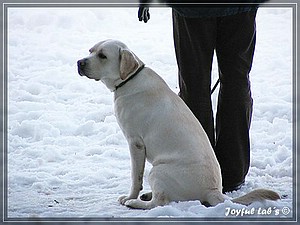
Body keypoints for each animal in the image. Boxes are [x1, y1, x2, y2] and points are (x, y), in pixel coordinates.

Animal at [77, 39, 278, 209]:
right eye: (91, 51)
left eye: (103, 56)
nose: (79, 62)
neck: (129, 79)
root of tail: (213, 191)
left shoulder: (135, 143)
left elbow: (136, 177)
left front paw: (129, 196)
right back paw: (146, 195)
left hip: (157, 170)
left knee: (160, 202)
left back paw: (136, 202)